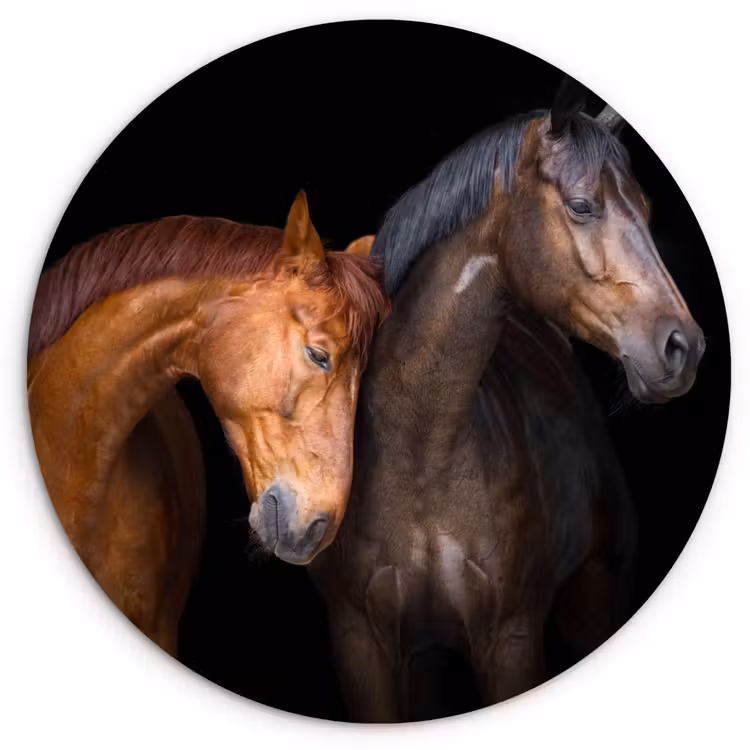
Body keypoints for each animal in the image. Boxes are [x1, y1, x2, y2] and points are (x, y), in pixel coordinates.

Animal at [309, 80, 705, 722]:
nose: (683, 347)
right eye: (581, 205)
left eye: (645, 212)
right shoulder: (361, 644)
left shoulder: (511, 639)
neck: (422, 452)